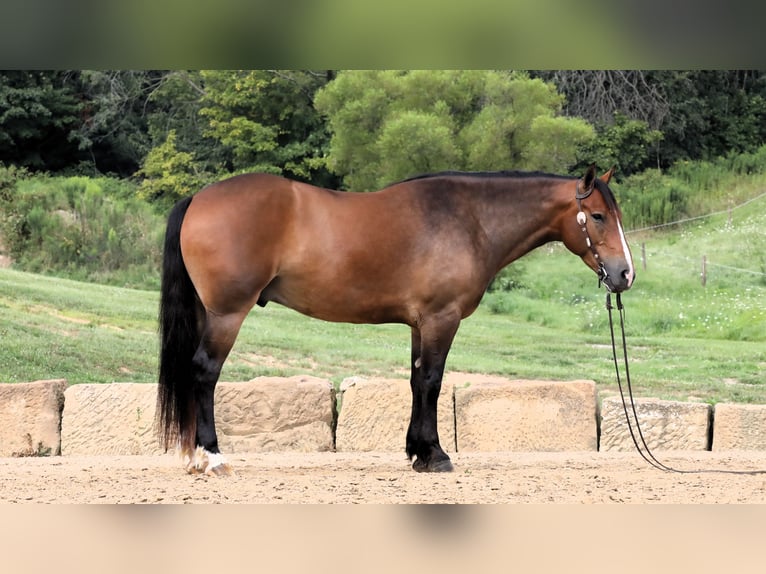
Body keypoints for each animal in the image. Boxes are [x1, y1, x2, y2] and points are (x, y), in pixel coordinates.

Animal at [156, 163, 636, 476]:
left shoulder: (420, 323)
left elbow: (416, 380)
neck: (470, 219)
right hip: (227, 315)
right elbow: (433, 382)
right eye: (597, 216)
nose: (625, 274)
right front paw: (436, 455)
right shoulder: (442, 318)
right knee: (205, 373)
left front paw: (417, 452)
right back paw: (212, 457)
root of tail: (199, 197)